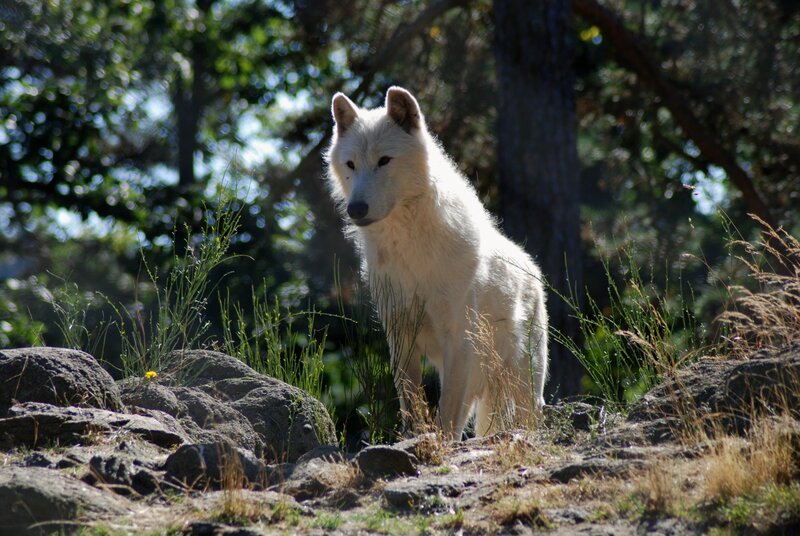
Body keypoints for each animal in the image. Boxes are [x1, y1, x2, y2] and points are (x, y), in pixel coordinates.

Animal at [325, 87, 548, 439]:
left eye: (384, 160)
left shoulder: (457, 339)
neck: (411, 249)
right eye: (351, 164)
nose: (356, 208)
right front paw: (414, 438)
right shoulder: (400, 335)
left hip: (523, 379)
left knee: (528, 414)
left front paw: (442, 443)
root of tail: (533, 269)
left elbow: (448, 414)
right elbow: (412, 401)